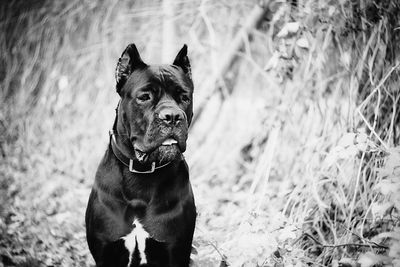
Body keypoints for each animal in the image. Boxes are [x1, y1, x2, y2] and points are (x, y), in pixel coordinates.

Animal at [85, 43, 196, 266]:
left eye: (184, 97)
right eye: (144, 97)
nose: (172, 116)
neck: (141, 173)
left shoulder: (176, 250)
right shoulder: (105, 251)